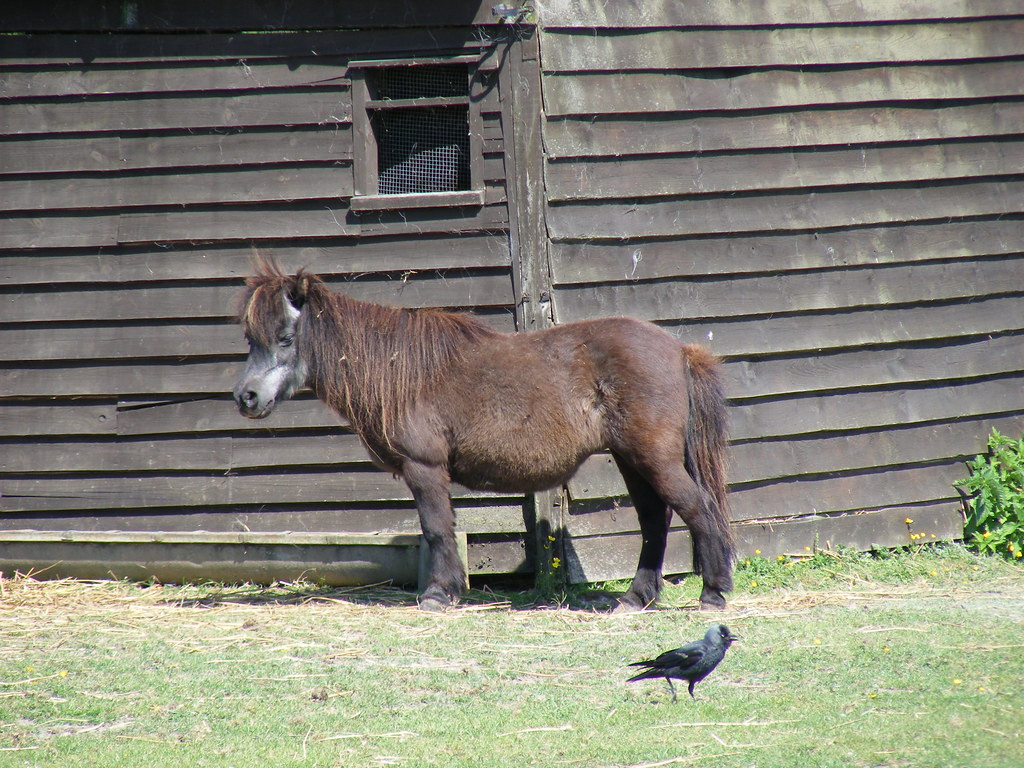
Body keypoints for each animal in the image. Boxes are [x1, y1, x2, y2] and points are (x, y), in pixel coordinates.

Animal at [233, 259, 735, 611]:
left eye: (284, 338)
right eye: (250, 339)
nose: (246, 397)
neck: (400, 371)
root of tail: (679, 349)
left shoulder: (424, 468)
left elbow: (437, 529)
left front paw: (439, 594)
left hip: (654, 458)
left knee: (697, 509)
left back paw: (713, 593)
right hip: (633, 459)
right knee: (655, 520)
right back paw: (635, 598)